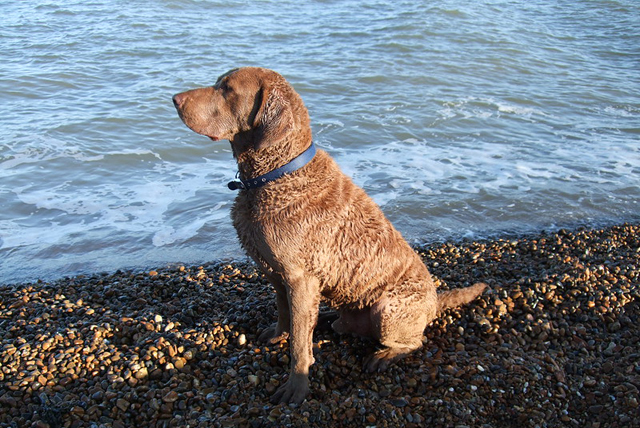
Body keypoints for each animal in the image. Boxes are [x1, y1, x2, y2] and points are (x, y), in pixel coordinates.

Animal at [172, 67, 488, 404]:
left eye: (227, 89)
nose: (175, 98)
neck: (277, 174)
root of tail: (435, 302)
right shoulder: (276, 272)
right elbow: (284, 313)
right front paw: (278, 333)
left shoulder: (300, 277)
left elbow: (299, 344)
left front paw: (296, 386)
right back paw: (325, 319)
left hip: (388, 309)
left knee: (413, 342)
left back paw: (383, 355)